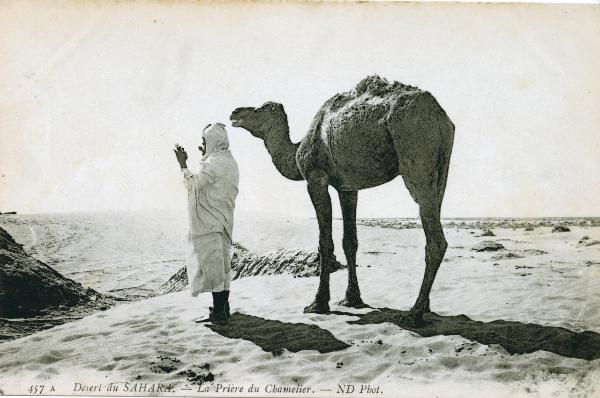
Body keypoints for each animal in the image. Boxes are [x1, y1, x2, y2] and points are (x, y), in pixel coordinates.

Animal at [230, 76, 454, 324]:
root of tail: (441, 117)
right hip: (442, 166)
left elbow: (325, 242)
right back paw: (426, 307)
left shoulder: (315, 178)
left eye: (258, 110)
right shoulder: (347, 188)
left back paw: (414, 313)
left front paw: (318, 303)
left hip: (415, 149)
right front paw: (351, 299)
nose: (234, 112)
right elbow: (350, 242)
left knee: (435, 238)